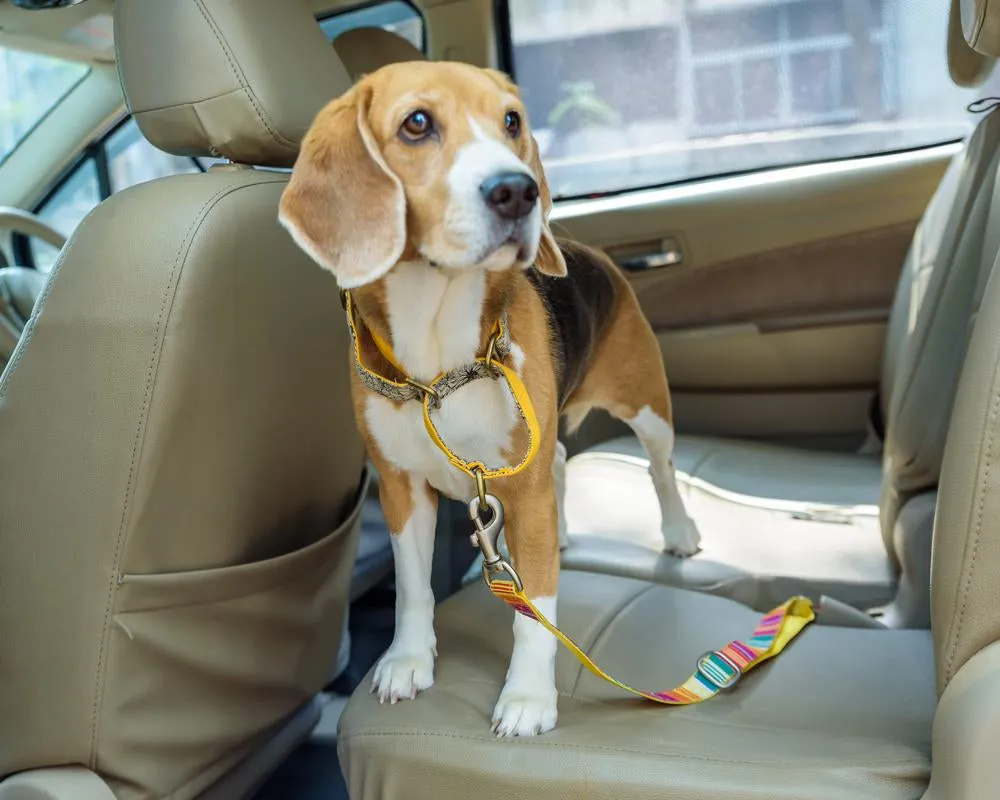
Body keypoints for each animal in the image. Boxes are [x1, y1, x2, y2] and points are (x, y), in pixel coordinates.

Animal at [278, 62, 700, 736]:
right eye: (416, 123)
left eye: (511, 121)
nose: (518, 192)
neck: (439, 359)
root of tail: (592, 251)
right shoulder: (400, 488)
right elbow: (413, 587)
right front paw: (408, 660)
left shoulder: (523, 493)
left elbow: (536, 611)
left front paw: (528, 696)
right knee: (560, 462)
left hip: (647, 405)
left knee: (660, 470)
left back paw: (679, 530)